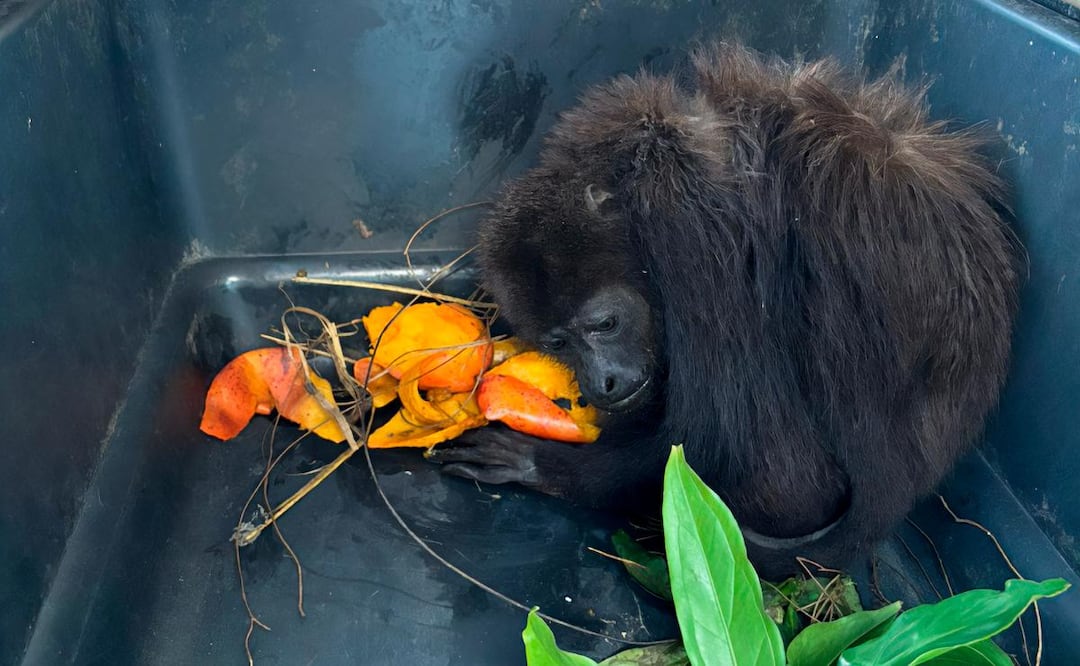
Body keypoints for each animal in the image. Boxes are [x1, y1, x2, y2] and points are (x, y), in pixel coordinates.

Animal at [428, 43, 1020, 579]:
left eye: (604, 324)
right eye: (557, 343)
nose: (603, 383)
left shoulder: (688, 231)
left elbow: (750, 461)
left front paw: (541, 466)